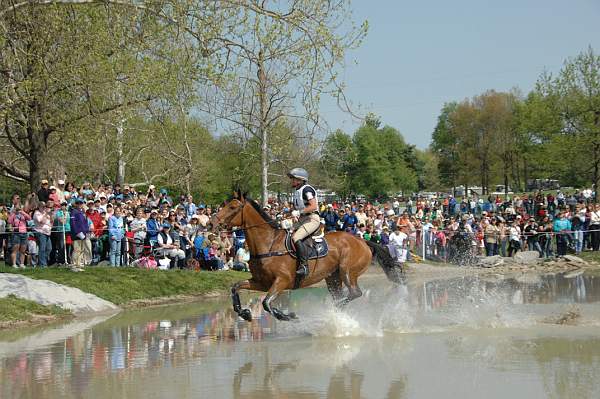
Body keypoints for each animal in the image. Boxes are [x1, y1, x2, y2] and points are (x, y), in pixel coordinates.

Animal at [212, 192, 404, 324]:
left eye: (232, 207)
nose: (213, 223)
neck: (268, 243)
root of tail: (362, 240)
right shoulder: (261, 282)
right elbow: (235, 287)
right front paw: (244, 313)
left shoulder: (281, 281)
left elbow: (266, 303)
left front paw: (287, 315)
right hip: (333, 277)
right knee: (342, 295)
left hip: (348, 271)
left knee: (354, 292)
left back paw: (331, 309)